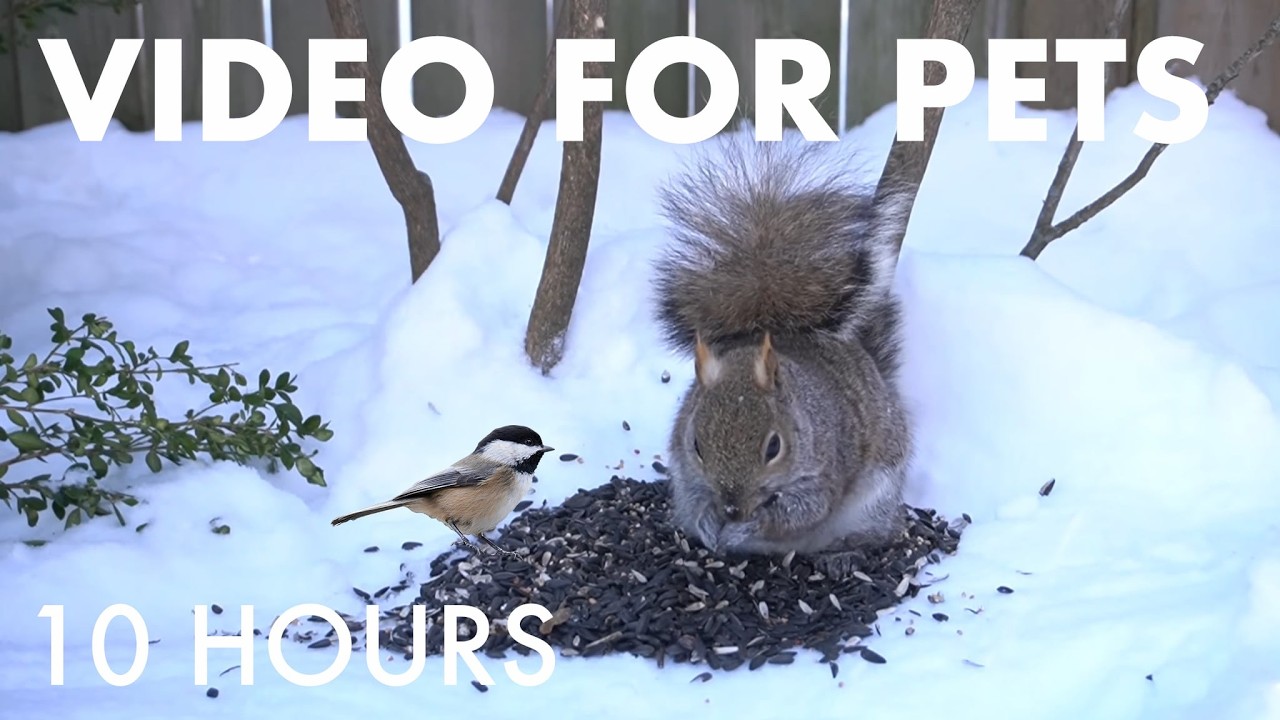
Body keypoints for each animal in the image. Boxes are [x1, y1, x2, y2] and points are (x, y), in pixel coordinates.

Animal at [651, 138, 913, 557]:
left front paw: (747, 526)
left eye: (773, 447)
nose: (732, 508)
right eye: (696, 445)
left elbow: (802, 511)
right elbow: (694, 499)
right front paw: (708, 523)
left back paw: (846, 548)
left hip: (876, 497)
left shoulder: (823, 469)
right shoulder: (685, 467)